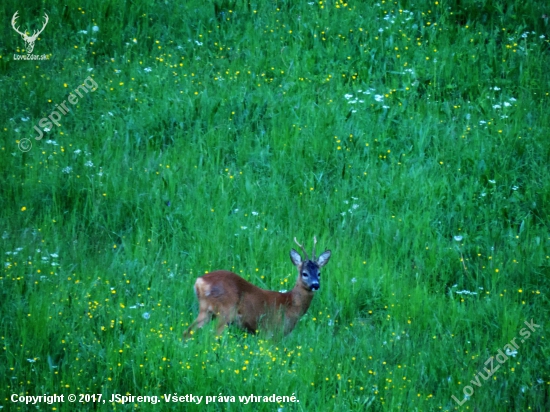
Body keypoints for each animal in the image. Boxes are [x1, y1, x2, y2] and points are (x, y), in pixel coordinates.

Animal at [184, 238, 332, 338]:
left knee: (187, 332)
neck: (290, 304)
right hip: (225, 311)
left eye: (319, 273)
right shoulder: (272, 333)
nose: (315, 285)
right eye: (304, 273)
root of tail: (200, 282)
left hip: (206, 310)